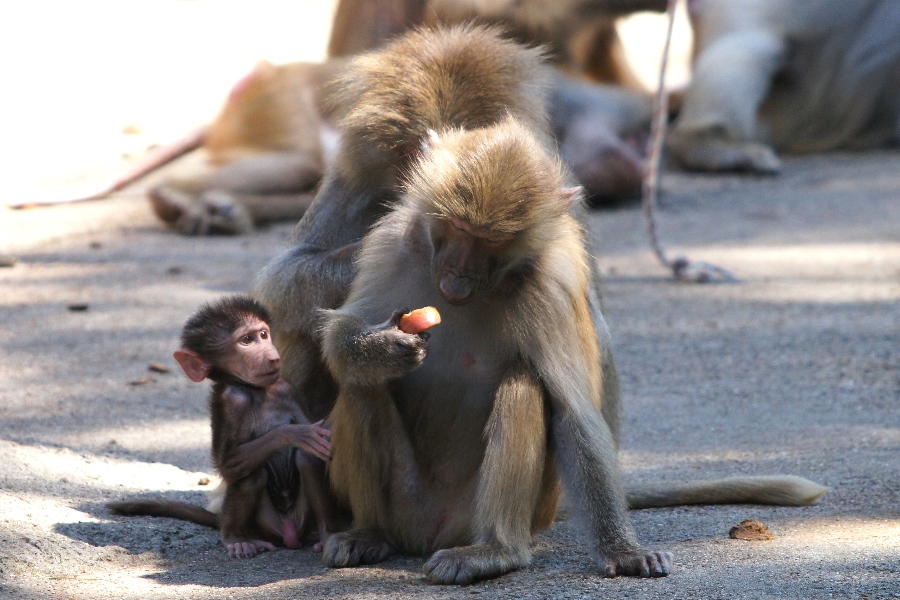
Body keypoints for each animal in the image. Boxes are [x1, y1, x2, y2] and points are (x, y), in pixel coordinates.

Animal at [106, 296, 338, 556]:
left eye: (264, 334)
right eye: (246, 340)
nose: (273, 356)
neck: (257, 391)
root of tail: (288, 532)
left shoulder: (285, 388)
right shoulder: (231, 401)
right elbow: (229, 464)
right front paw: (294, 434)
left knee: (307, 459)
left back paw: (326, 534)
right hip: (263, 523)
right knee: (251, 475)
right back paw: (235, 538)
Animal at [256, 25, 828, 584]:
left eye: (489, 243)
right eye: (413, 156)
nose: (456, 278)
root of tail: (425, 535)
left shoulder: (553, 259)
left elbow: (576, 400)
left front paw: (623, 550)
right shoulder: (375, 217)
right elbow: (304, 298)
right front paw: (380, 342)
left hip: (510, 510)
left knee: (525, 385)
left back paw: (493, 552)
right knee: (357, 383)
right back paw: (364, 531)